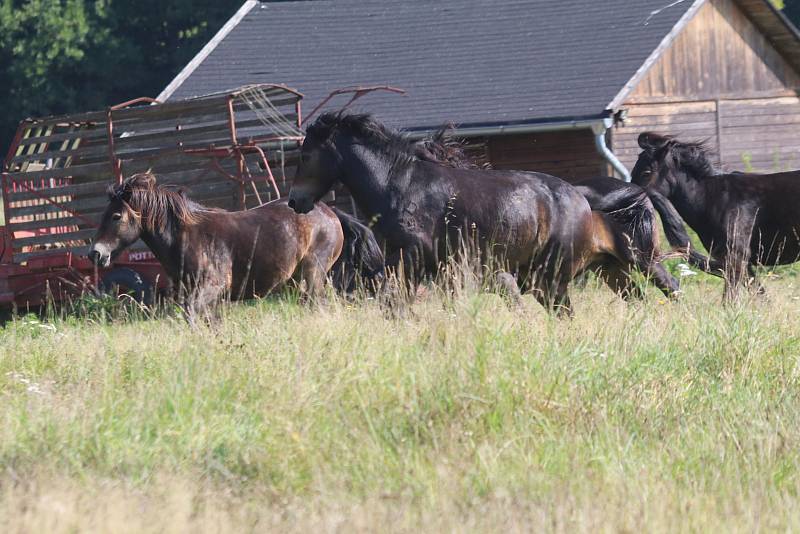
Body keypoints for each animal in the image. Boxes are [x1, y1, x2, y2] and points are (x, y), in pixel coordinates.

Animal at [88, 172, 344, 314]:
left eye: (116, 216)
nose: (95, 254)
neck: (187, 236)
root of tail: (329, 213)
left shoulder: (213, 288)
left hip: (312, 273)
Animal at [290, 113, 660, 314]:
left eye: (306, 155)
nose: (295, 201)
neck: (400, 186)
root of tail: (583, 201)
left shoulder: (418, 260)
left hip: (551, 277)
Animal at [632, 132, 800, 302]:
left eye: (646, 172)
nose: (629, 198)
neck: (713, 198)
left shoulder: (735, 256)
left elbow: (730, 299)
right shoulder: (739, 262)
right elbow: (758, 293)